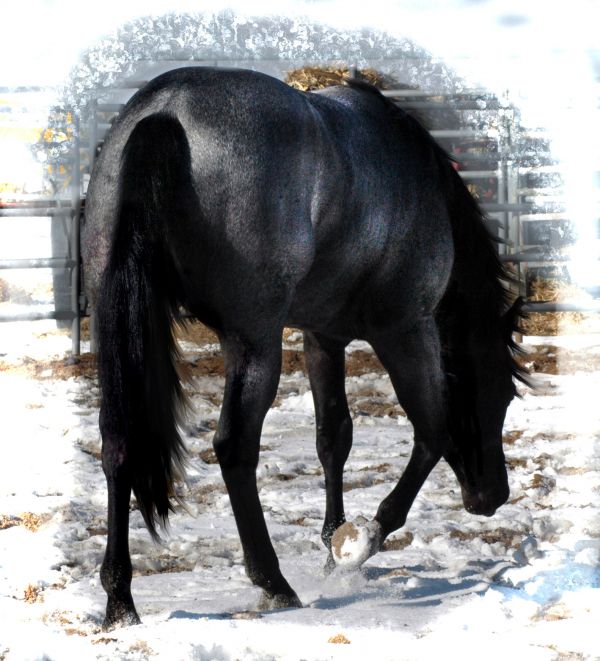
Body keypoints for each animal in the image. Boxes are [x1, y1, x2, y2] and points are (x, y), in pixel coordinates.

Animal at [82, 67, 525, 629]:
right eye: (500, 395)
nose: (493, 495)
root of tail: (167, 112)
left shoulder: (322, 337)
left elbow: (333, 436)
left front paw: (332, 544)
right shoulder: (407, 329)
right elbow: (433, 433)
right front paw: (362, 541)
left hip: (121, 329)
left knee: (118, 443)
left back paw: (120, 598)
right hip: (255, 340)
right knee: (234, 446)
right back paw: (272, 582)